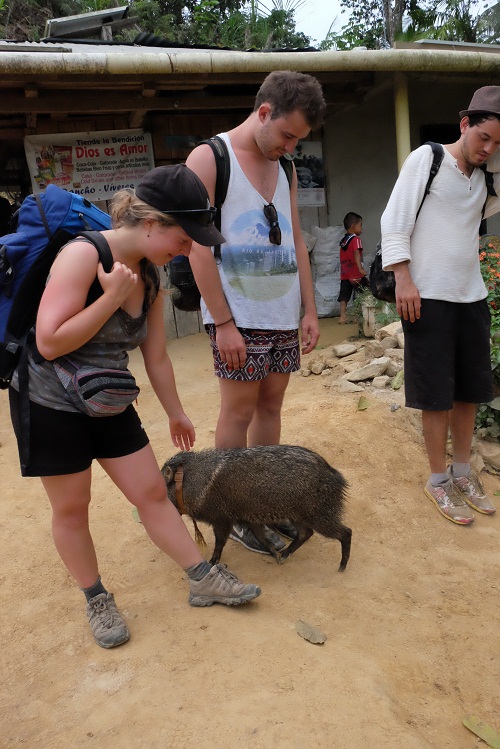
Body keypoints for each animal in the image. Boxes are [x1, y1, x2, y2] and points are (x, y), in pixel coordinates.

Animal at [161, 444, 351, 571]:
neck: (186, 483)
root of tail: (334, 474)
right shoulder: (250, 517)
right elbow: (261, 539)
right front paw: (275, 554)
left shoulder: (222, 519)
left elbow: (220, 542)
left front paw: (212, 563)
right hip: (298, 515)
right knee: (306, 533)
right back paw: (285, 555)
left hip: (318, 514)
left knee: (345, 532)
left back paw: (342, 566)